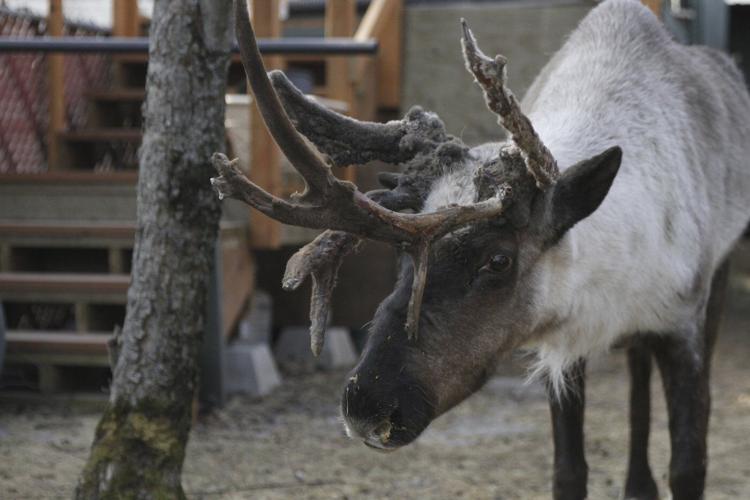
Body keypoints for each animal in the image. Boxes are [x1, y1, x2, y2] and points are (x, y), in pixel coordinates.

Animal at [211, 0, 750, 498]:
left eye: (499, 259)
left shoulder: (681, 326)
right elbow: (569, 471)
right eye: (403, 256)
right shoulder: (563, 342)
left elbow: (689, 467)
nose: (366, 408)